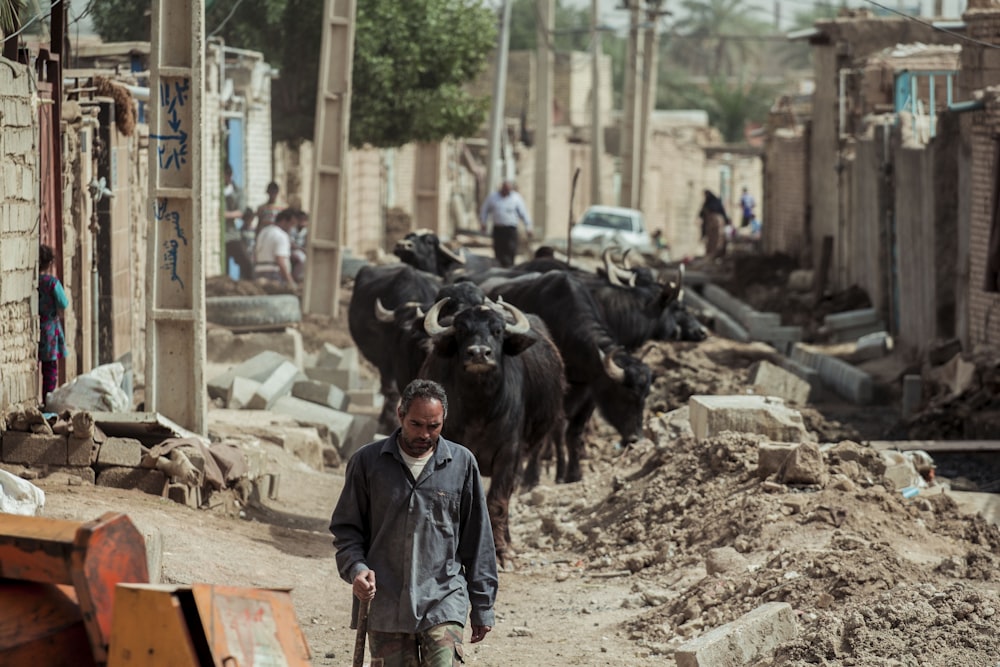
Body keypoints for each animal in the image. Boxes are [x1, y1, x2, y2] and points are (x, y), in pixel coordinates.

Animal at [350, 264, 440, 430]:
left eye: (421, 325)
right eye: (400, 324)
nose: (406, 327)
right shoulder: (387, 362)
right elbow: (392, 391)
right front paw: (389, 421)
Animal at [418, 298, 568, 564]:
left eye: (497, 331)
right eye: (462, 330)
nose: (479, 353)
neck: (480, 407)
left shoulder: (510, 454)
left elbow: (497, 502)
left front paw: (500, 551)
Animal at [486, 272, 656, 486]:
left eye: (645, 396)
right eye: (625, 394)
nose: (636, 438)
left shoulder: (590, 394)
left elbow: (573, 434)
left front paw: (573, 474)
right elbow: (553, 432)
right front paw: (534, 477)